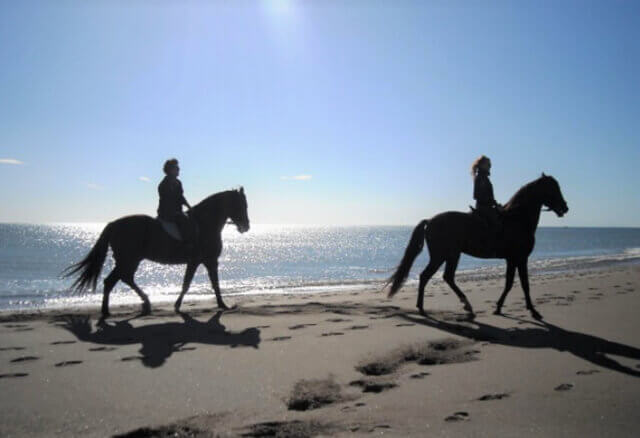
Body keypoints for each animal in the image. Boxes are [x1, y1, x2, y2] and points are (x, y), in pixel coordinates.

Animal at [63, 187, 250, 314]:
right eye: (241, 205)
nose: (246, 227)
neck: (204, 224)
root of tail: (114, 224)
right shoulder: (200, 261)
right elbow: (190, 284)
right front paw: (179, 305)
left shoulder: (207, 261)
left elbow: (213, 283)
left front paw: (222, 305)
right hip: (128, 259)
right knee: (115, 280)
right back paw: (117, 309)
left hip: (129, 260)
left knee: (121, 279)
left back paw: (136, 305)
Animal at [388, 173, 568, 320]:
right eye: (552, 188)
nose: (565, 207)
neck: (517, 219)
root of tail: (430, 220)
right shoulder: (520, 258)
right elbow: (524, 284)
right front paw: (533, 311)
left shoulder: (512, 260)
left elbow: (510, 283)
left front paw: (498, 307)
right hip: (442, 256)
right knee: (426, 276)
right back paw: (423, 307)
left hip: (452, 255)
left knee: (447, 277)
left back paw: (465, 305)